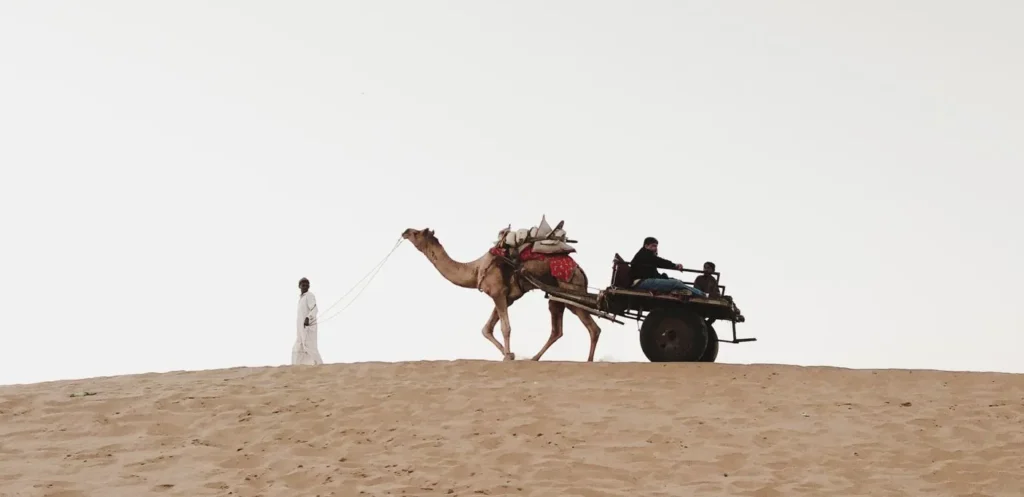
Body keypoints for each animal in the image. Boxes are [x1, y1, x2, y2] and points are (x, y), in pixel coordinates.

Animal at [399, 227, 598, 360]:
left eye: (417, 233)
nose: (405, 231)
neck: (476, 270)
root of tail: (580, 270)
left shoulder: (498, 293)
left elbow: (505, 328)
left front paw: (507, 355)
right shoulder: (505, 297)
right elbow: (486, 329)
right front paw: (509, 354)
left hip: (571, 289)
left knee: (593, 328)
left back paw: (588, 360)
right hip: (558, 298)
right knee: (558, 330)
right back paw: (535, 358)